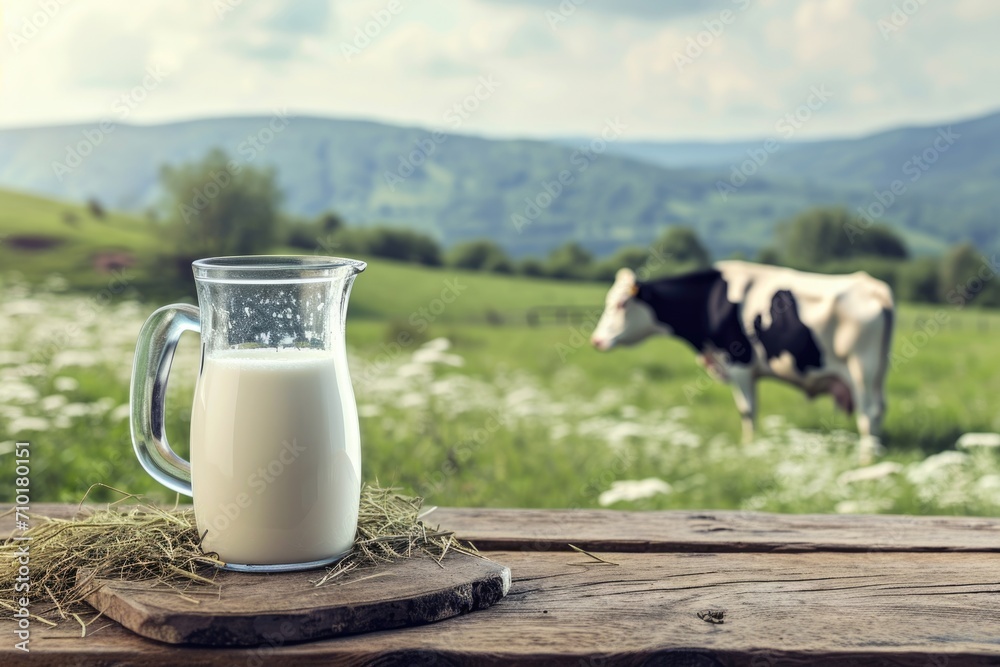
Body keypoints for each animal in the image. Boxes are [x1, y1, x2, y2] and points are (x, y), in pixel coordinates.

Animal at [588, 260, 896, 464]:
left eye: (620, 304)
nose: (596, 341)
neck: (711, 299)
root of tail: (874, 287)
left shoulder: (739, 364)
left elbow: (747, 410)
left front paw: (748, 448)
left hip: (861, 367)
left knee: (868, 412)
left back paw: (866, 461)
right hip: (878, 371)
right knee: (880, 409)